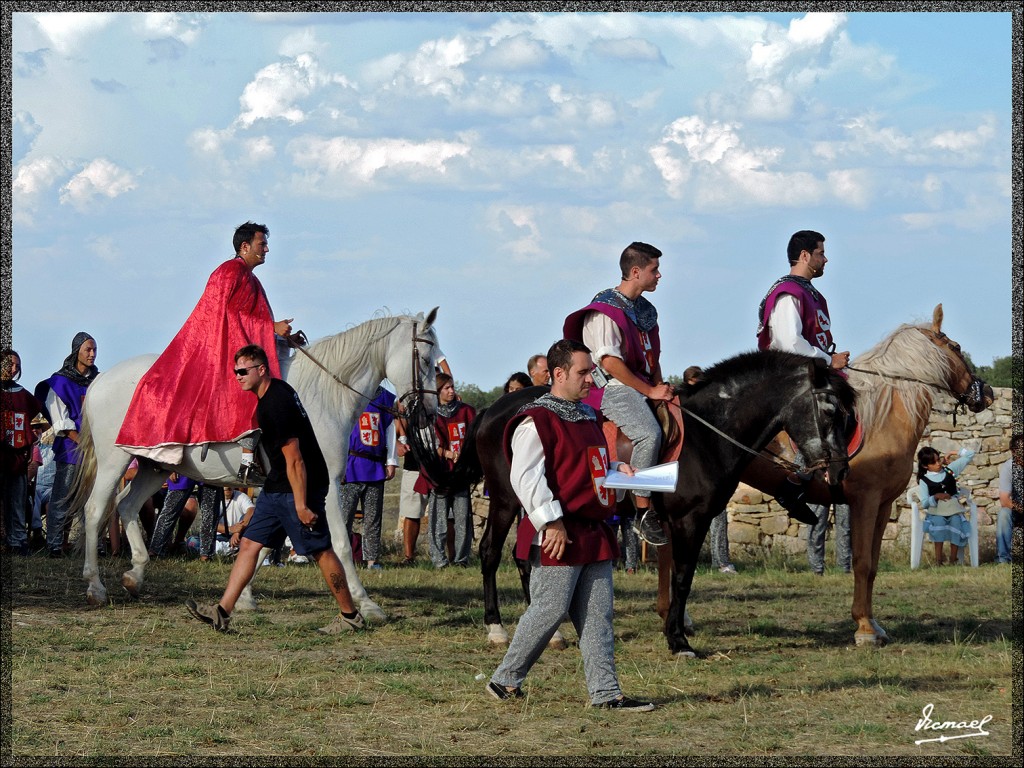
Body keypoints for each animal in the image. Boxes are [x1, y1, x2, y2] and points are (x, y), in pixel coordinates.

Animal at [69, 307, 440, 618]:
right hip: (115, 461)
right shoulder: (324, 486)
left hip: (153, 465)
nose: (430, 413)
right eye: (425, 359)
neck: (322, 395)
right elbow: (340, 544)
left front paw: (244, 596)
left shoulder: (285, 487)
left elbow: (261, 542)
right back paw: (95, 587)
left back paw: (135, 575)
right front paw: (367, 604)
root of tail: (100, 381)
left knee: (126, 505)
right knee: (95, 510)